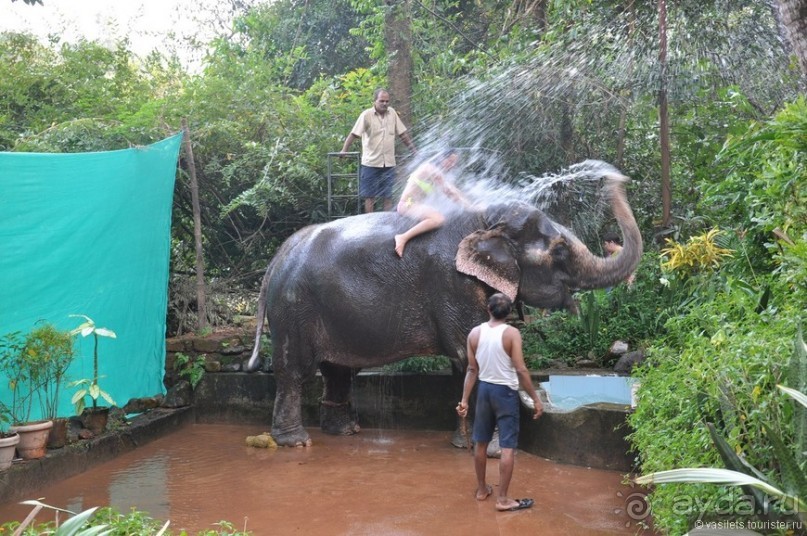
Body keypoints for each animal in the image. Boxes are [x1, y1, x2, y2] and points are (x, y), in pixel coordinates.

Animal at [246, 170, 644, 446]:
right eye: (559, 250)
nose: (616, 178)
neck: (485, 220)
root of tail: (277, 257)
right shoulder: (453, 284)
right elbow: (471, 356)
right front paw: (492, 450)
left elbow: (466, 363)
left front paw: (466, 444)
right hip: (294, 309)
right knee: (295, 371)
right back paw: (296, 442)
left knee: (337, 372)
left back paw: (345, 432)